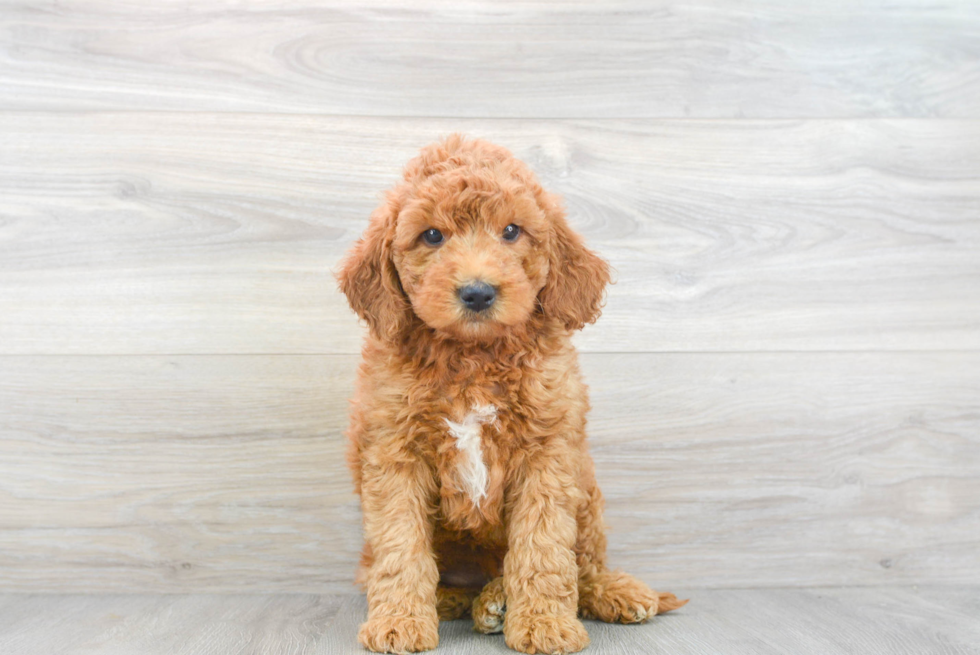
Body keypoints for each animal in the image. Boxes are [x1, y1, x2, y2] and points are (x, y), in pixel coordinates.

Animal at [336, 136, 680, 652]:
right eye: (432, 236)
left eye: (512, 231)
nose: (477, 293)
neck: (474, 357)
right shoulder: (394, 454)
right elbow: (400, 545)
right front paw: (398, 622)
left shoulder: (548, 454)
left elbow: (544, 548)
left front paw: (543, 624)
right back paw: (470, 600)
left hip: (587, 494)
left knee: (584, 564)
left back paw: (601, 592)